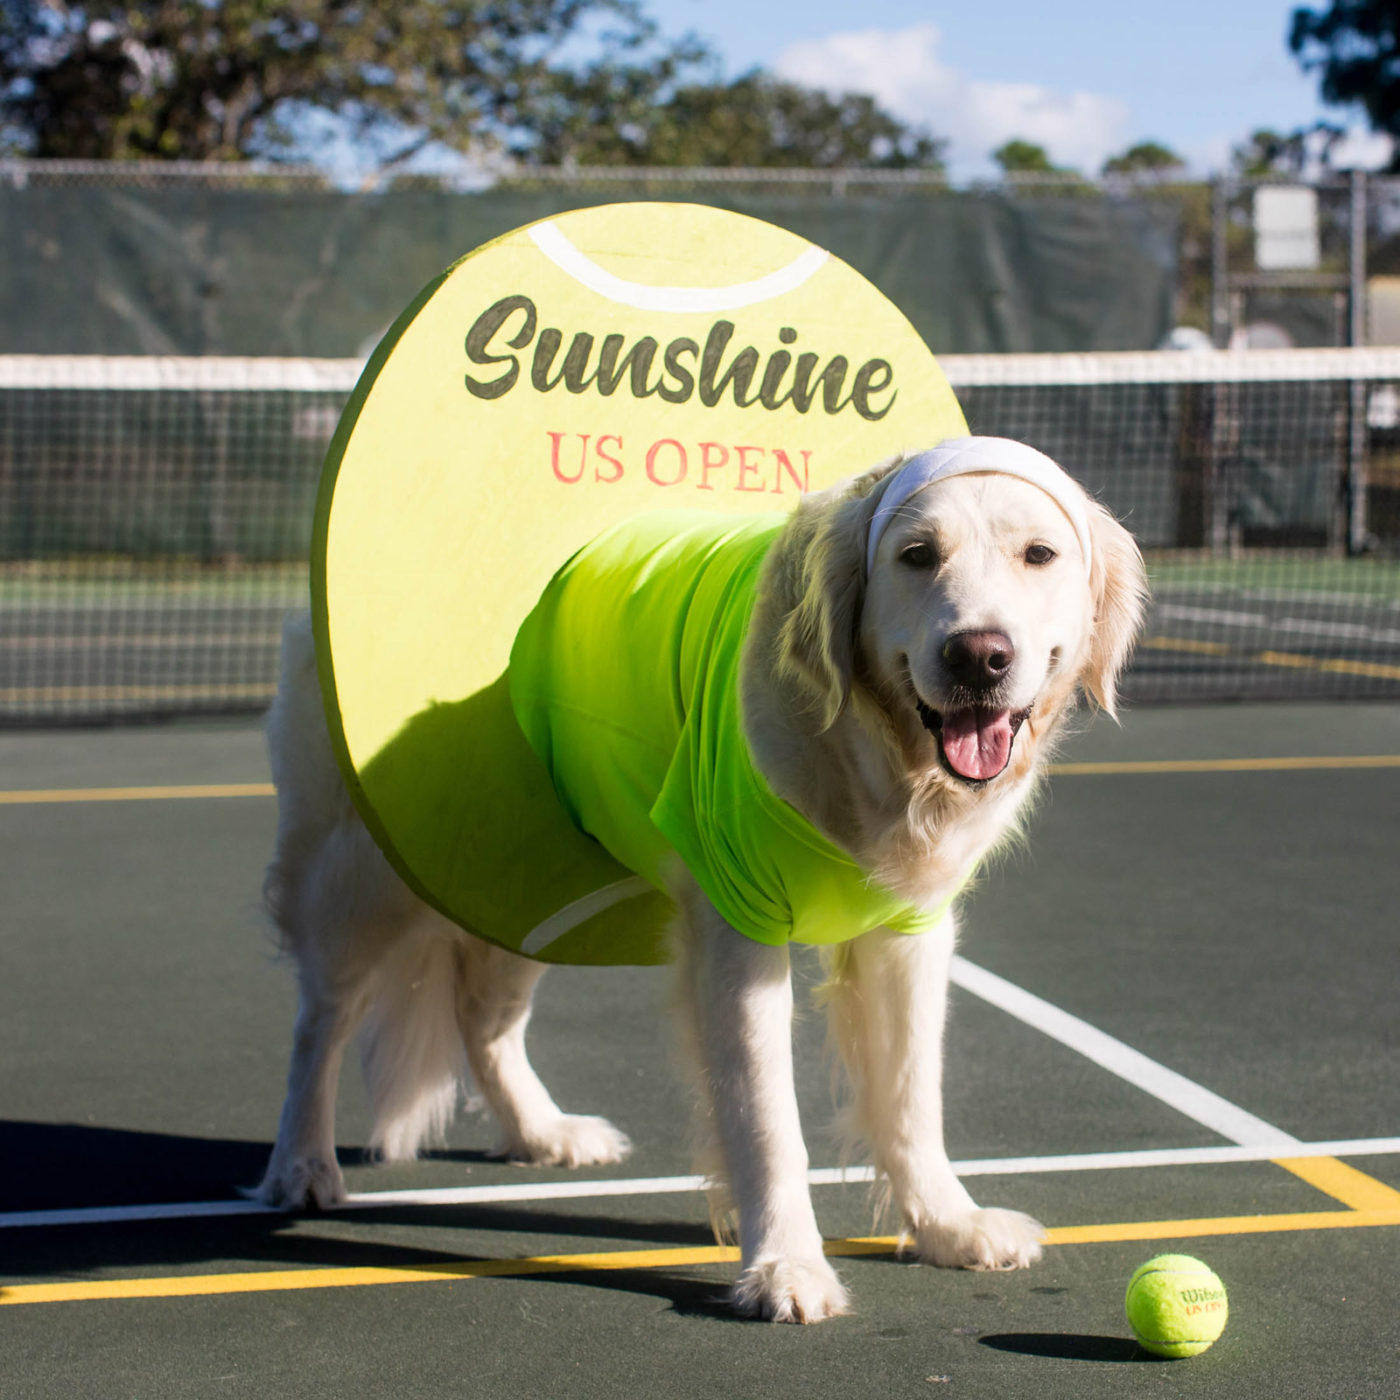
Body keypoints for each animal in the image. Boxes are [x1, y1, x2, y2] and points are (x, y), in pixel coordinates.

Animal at [254, 436, 1148, 1321]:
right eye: (917, 555)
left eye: (1039, 555)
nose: (979, 657)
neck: (866, 749)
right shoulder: (739, 930)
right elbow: (767, 1120)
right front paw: (785, 1265)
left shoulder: (910, 928)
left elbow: (910, 1095)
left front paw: (946, 1225)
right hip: (365, 874)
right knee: (319, 1021)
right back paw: (301, 1164)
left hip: (530, 886)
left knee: (484, 1020)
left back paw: (542, 1132)